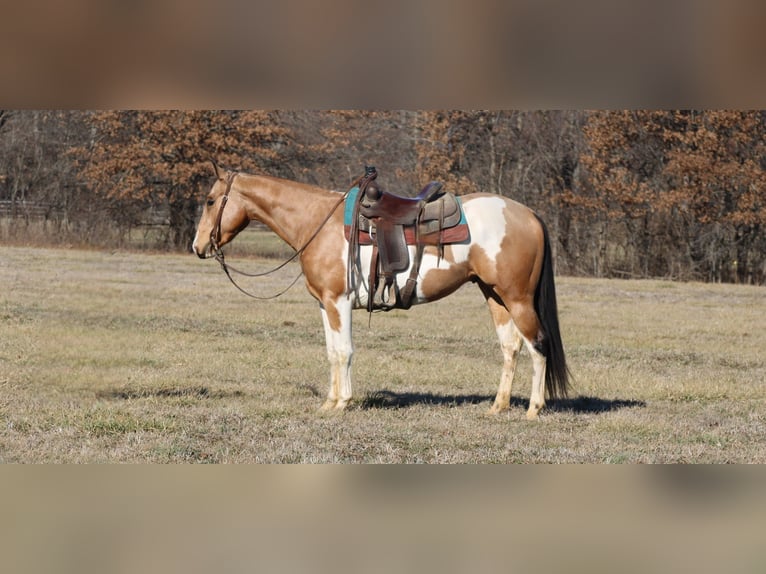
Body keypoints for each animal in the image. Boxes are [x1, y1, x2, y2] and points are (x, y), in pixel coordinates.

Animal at [192, 164, 570, 420]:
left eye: (210, 201)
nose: (198, 247)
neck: (318, 223)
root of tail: (529, 214)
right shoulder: (325, 305)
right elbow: (332, 352)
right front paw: (328, 402)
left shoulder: (339, 302)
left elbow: (344, 352)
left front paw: (342, 403)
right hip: (494, 296)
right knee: (510, 347)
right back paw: (497, 406)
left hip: (518, 298)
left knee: (538, 345)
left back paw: (533, 409)